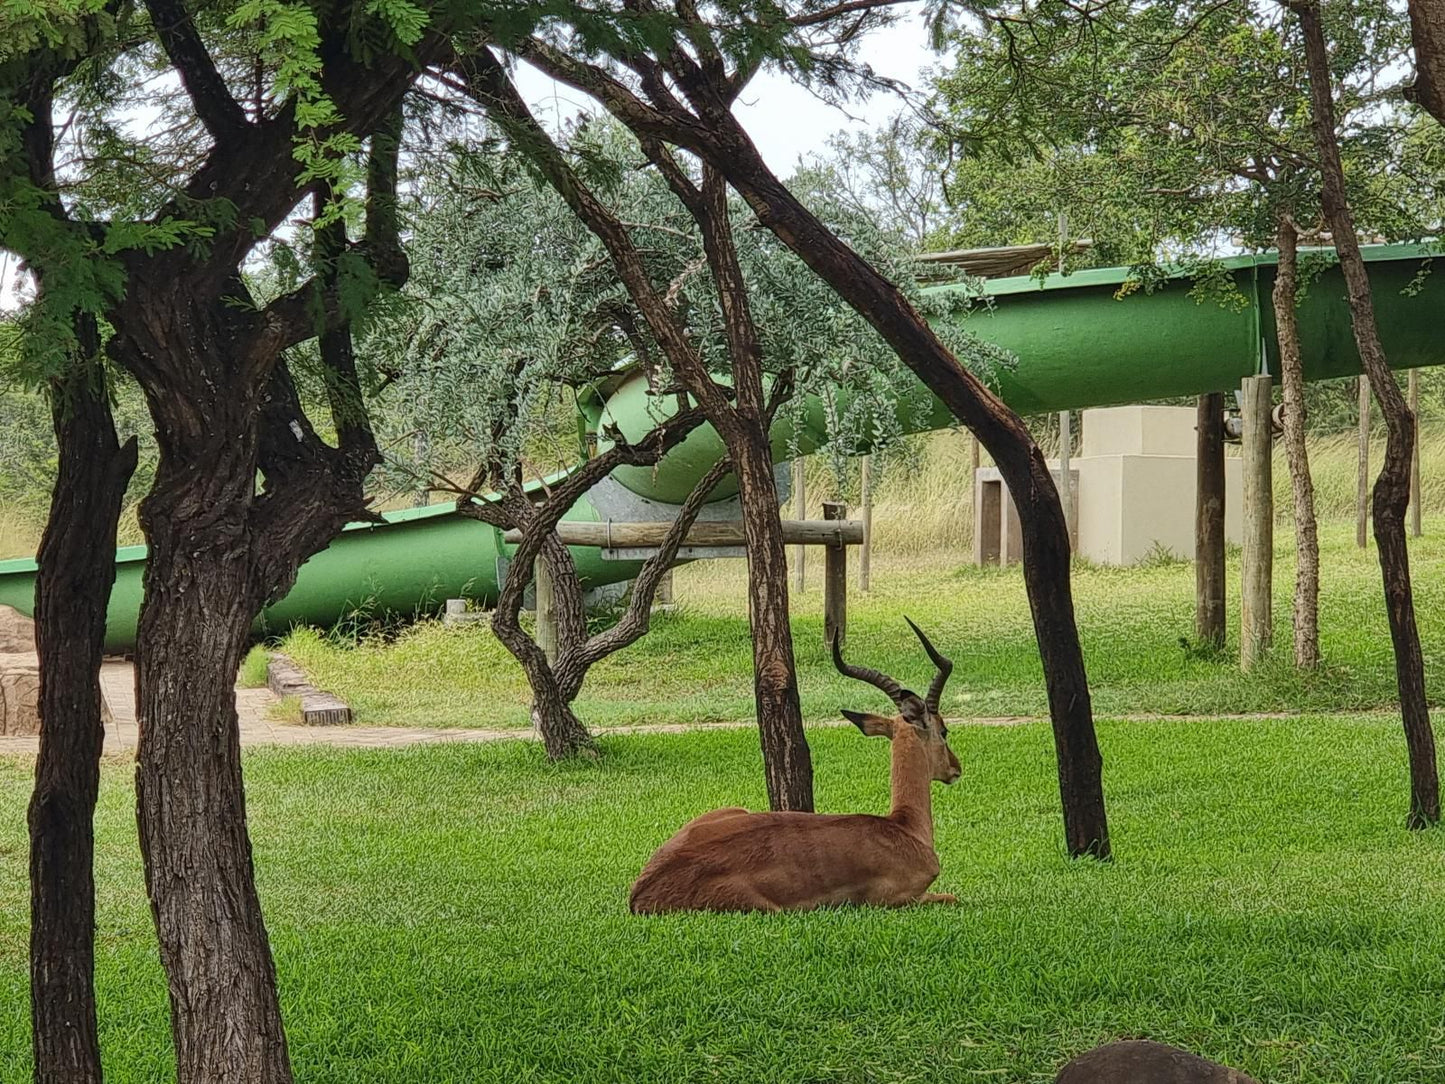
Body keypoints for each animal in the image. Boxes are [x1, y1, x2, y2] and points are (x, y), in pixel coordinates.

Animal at [624, 618, 953, 919]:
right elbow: (952, 896)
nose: (955, 768)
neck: (904, 828)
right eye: (944, 730)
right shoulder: (896, 899)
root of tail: (640, 893)